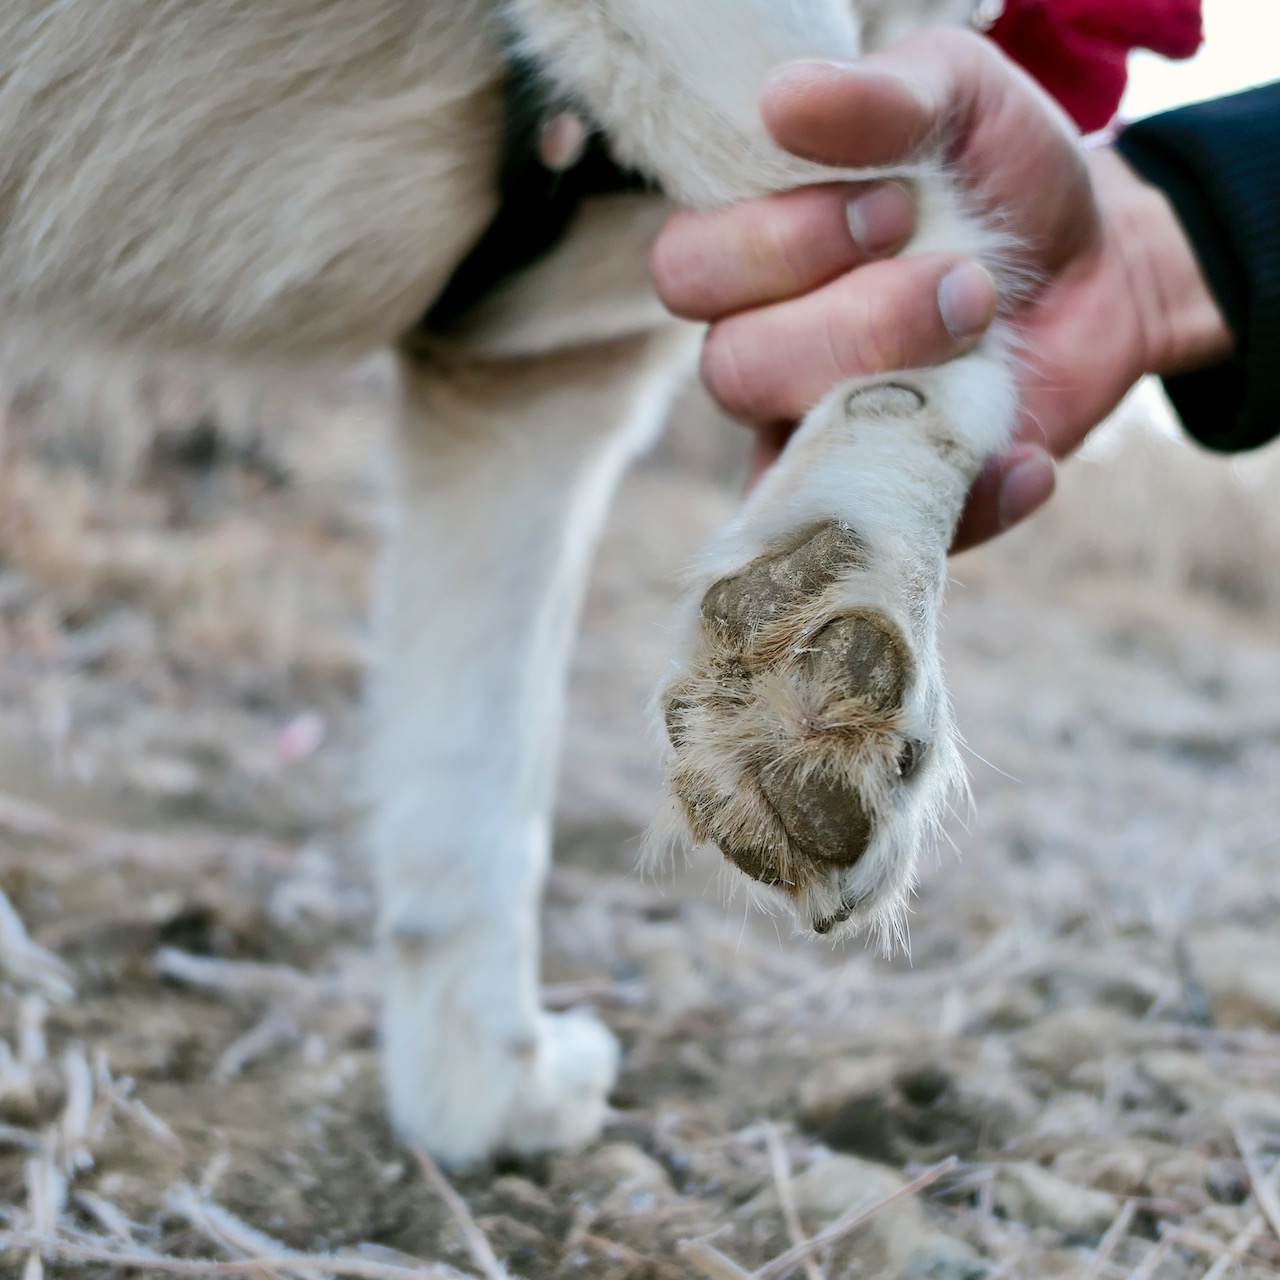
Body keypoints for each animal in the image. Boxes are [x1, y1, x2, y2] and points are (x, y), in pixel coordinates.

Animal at [0, 2, 1018, 1172]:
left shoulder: (533, 383)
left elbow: (483, 783)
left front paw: (482, 1086)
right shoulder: (723, 52)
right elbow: (937, 278)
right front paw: (828, 651)